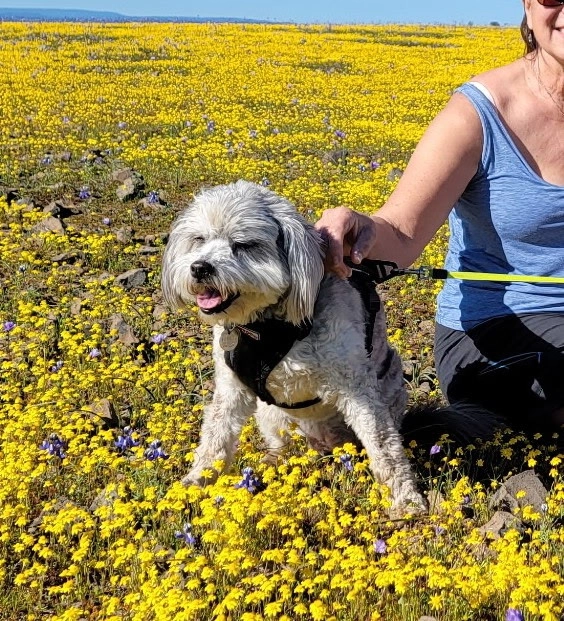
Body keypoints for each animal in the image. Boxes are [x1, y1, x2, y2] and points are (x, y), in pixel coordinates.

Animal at [161, 180, 429, 516]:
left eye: (244, 245)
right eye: (199, 239)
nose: (200, 268)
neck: (264, 327)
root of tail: (321, 440)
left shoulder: (356, 387)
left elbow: (383, 445)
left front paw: (405, 498)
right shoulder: (231, 387)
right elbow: (215, 437)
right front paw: (194, 483)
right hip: (271, 416)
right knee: (282, 445)